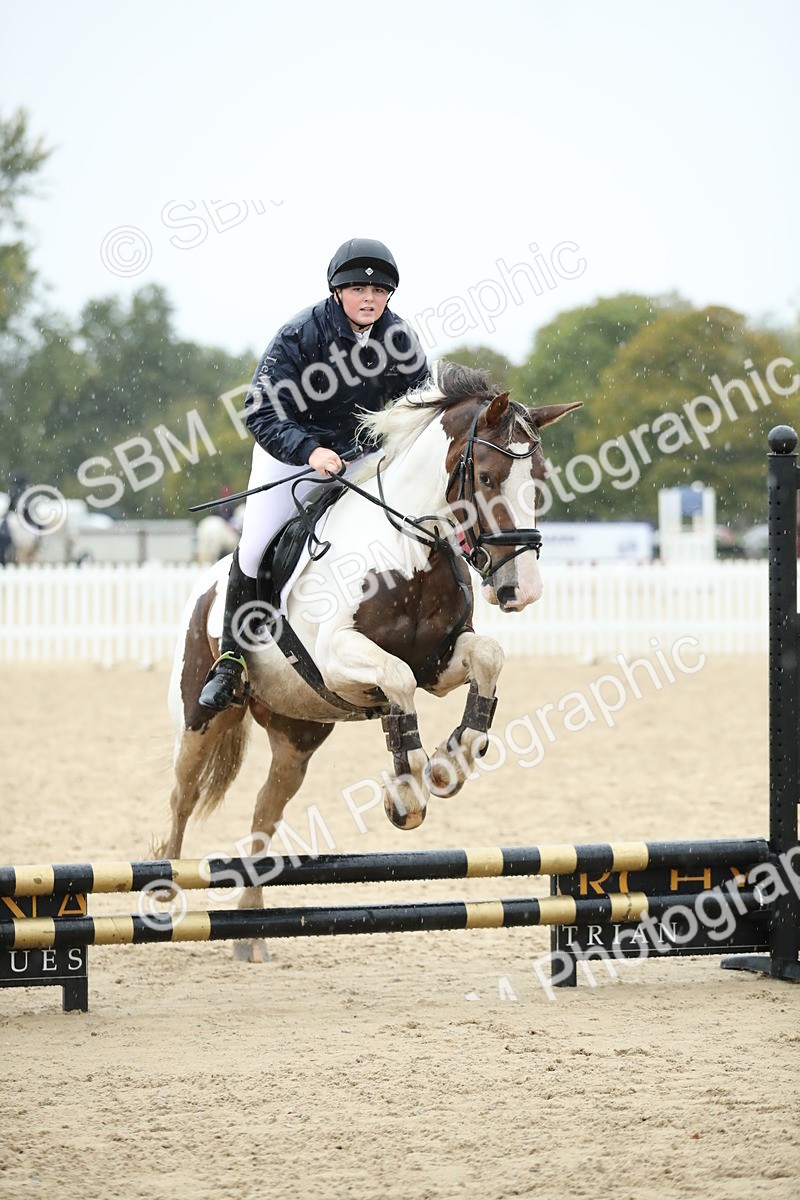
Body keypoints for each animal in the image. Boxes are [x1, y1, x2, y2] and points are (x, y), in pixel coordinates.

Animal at [159, 363, 580, 957]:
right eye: (489, 477)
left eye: (539, 478)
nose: (523, 590)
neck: (409, 550)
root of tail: (204, 584)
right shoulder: (339, 658)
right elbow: (396, 681)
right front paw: (407, 792)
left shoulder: (440, 664)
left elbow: (487, 659)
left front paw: (451, 759)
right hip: (201, 717)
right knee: (183, 795)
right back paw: (162, 897)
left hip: (297, 736)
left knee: (265, 811)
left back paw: (251, 932)